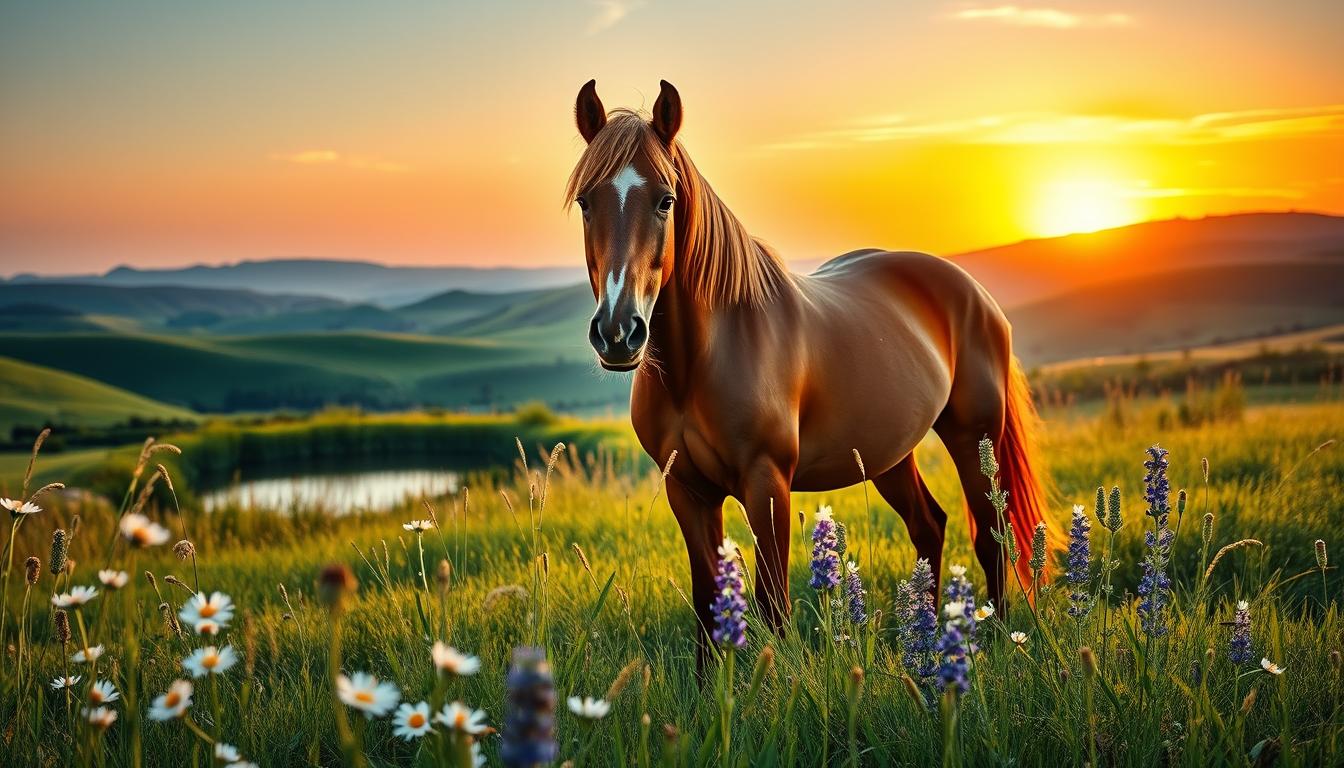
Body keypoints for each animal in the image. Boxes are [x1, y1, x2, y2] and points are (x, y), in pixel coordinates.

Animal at [565, 80, 1048, 655]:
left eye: (666, 200)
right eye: (586, 202)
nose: (618, 332)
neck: (703, 358)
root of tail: (974, 293)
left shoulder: (767, 484)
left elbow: (773, 606)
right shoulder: (687, 490)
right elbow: (708, 606)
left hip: (975, 437)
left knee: (991, 537)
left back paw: (996, 639)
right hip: (888, 455)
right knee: (929, 526)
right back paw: (929, 643)